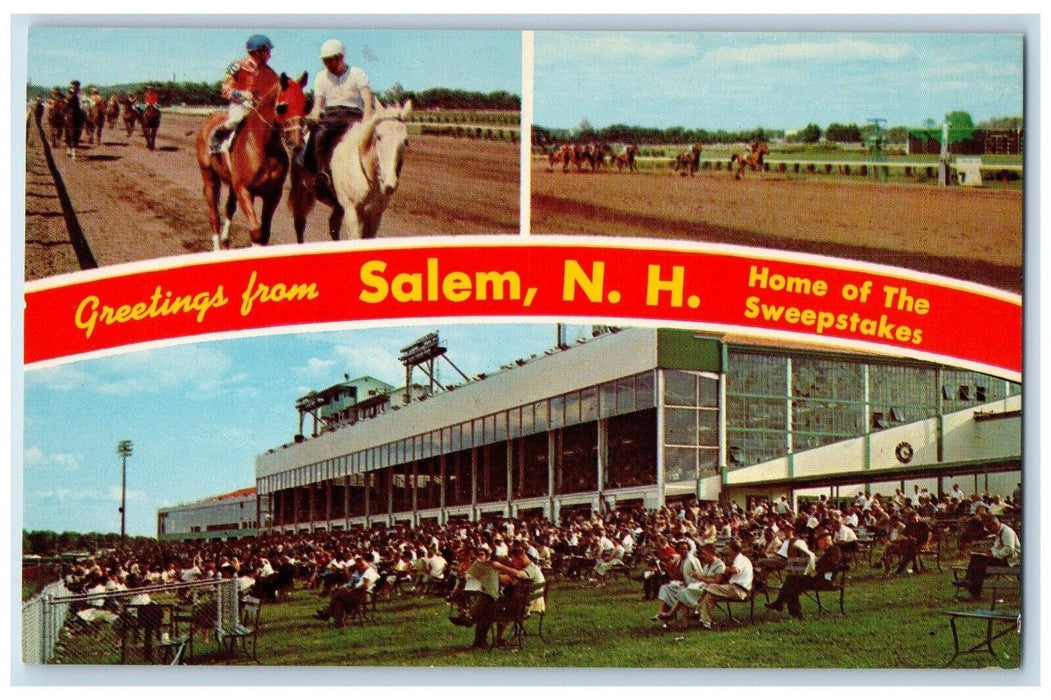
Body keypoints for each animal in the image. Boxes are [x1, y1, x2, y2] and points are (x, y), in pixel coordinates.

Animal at [195, 70, 306, 249]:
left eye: (305, 105)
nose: (296, 144)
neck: (263, 147)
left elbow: (265, 233)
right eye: (282, 107)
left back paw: (225, 240)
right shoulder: (244, 190)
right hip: (209, 175)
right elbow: (256, 231)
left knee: (229, 207)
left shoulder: (273, 193)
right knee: (214, 214)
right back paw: (217, 246)